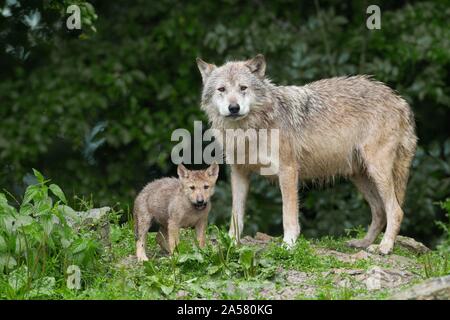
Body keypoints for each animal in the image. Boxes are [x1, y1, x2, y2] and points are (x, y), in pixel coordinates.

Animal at [195, 55, 416, 255]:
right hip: (360, 176)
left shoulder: (288, 171)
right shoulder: (239, 173)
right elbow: (236, 215)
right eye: (222, 89)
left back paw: (384, 247)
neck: (249, 131)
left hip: (377, 171)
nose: (234, 108)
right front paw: (231, 243)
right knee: (379, 211)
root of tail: (399, 99)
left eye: (243, 88)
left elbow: (288, 215)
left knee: (396, 210)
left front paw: (289, 244)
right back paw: (363, 243)